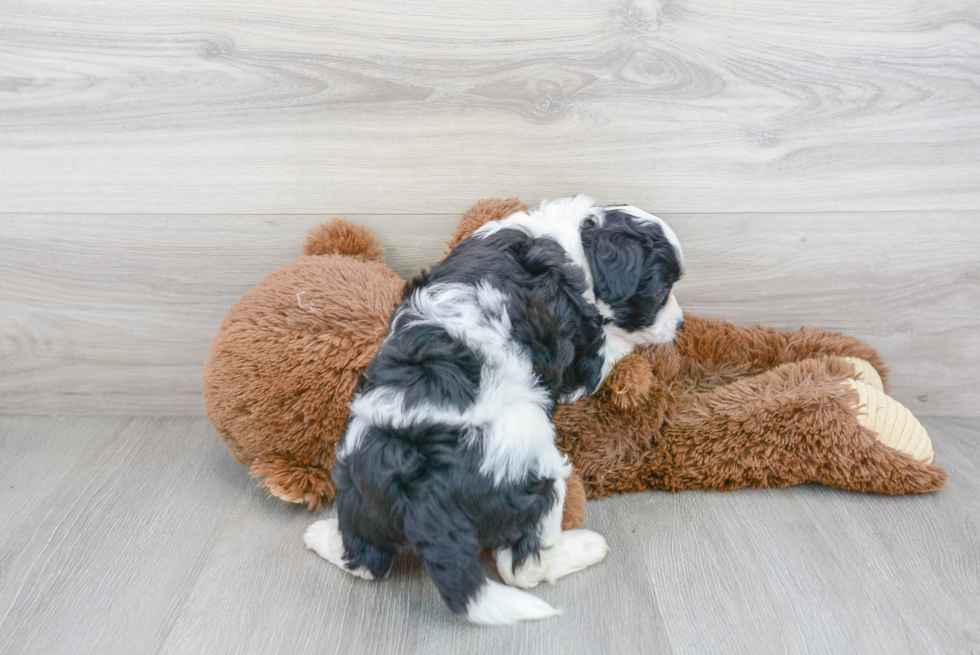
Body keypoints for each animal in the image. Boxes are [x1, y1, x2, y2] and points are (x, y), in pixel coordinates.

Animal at [304, 195, 680, 624]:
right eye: (662, 290)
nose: (681, 324)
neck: (574, 242)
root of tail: (420, 492)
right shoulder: (586, 360)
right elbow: (614, 346)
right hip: (535, 479)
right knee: (522, 566)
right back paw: (585, 547)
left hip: (361, 488)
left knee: (368, 559)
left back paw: (322, 537)